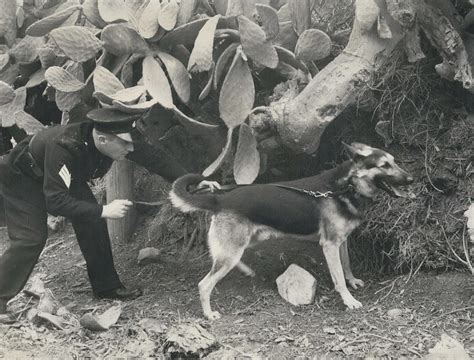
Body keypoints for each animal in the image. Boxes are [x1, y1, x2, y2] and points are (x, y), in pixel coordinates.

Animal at [168, 142, 412, 320]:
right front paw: (348, 300)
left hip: (244, 242)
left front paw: (353, 281)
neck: (346, 186)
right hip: (232, 250)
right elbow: (338, 278)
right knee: (205, 284)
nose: (411, 179)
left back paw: (246, 270)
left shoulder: (342, 242)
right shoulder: (330, 245)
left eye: (394, 162)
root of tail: (220, 199)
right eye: (384, 165)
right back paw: (209, 314)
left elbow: (346, 266)